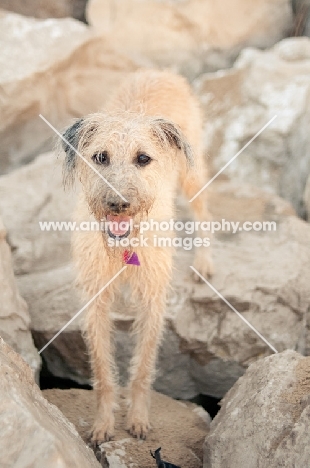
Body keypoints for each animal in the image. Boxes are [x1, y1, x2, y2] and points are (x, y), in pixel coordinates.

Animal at [62, 67, 214, 444]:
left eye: (143, 158)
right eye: (100, 157)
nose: (118, 203)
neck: (123, 247)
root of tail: (161, 71)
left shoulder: (153, 300)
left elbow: (143, 366)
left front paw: (138, 420)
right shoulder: (95, 302)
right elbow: (103, 370)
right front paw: (104, 423)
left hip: (192, 178)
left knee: (204, 213)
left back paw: (204, 262)